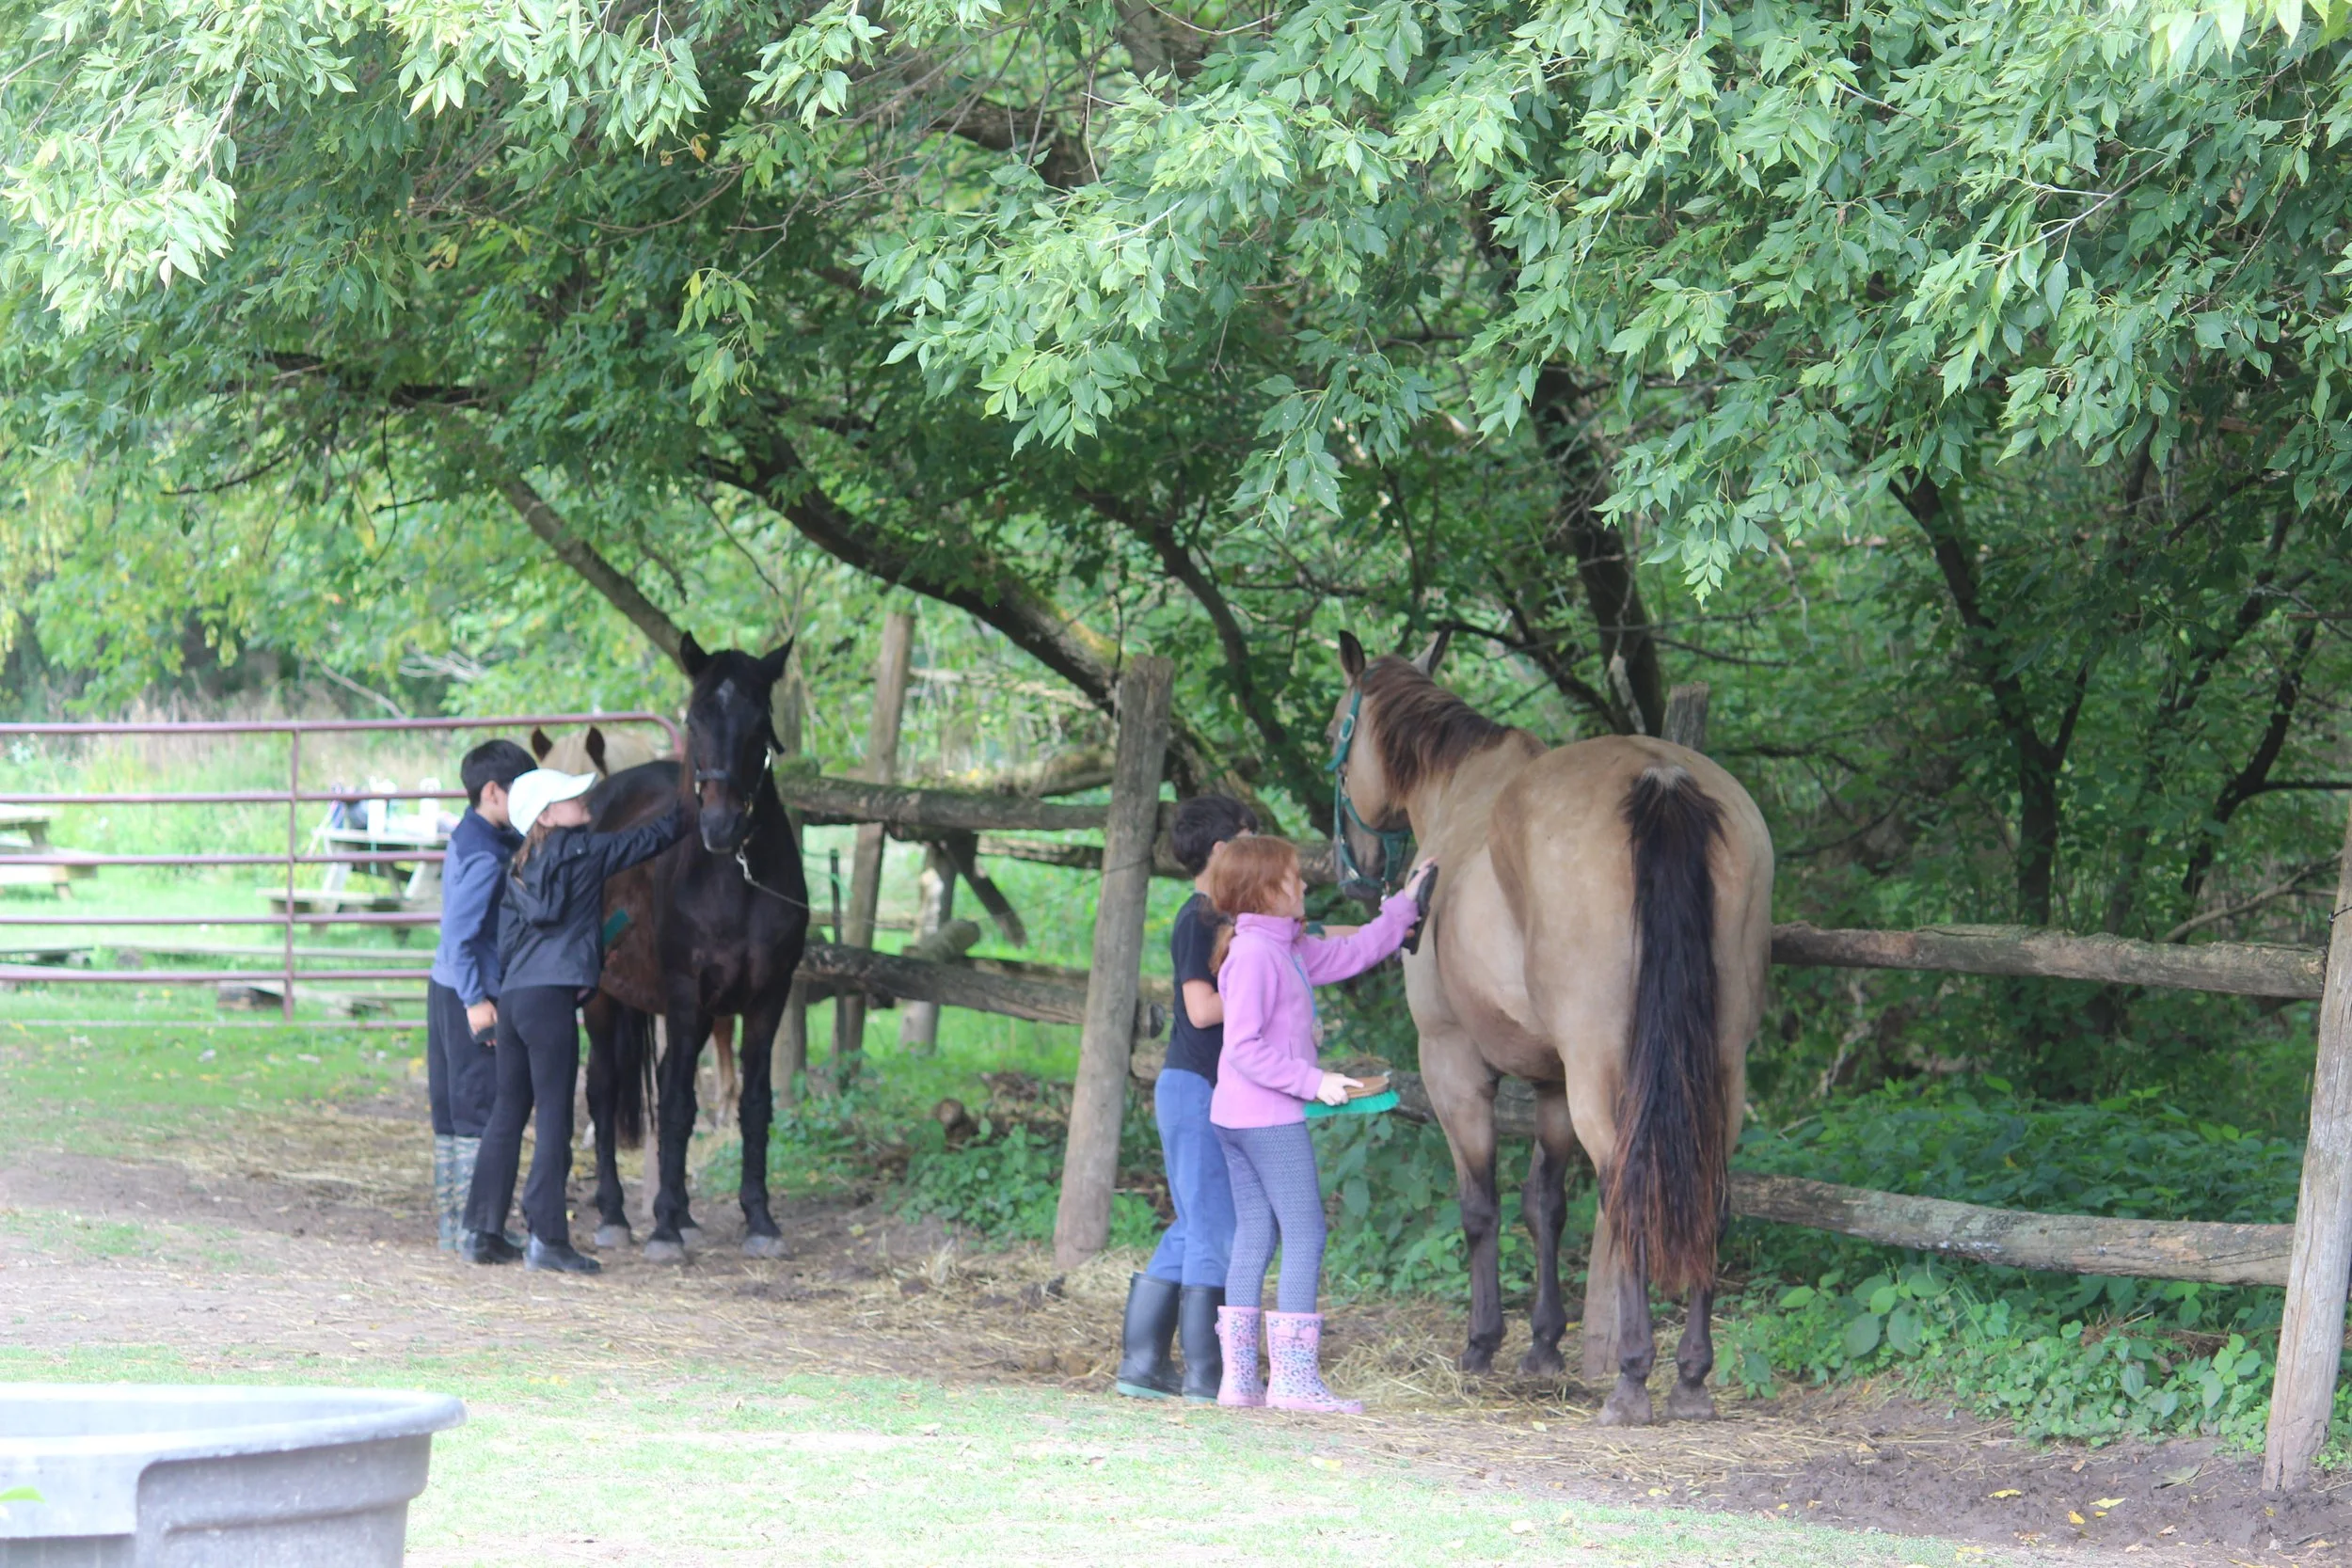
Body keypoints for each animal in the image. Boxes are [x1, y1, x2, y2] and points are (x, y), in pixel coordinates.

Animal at [581, 635, 812, 1263]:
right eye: (693, 718)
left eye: (760, 722)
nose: (721, 826)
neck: (733, 879)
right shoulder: (686, 997)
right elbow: (679, 1106)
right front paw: (661, 1229)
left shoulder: (767, 998)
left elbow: (753, 1105)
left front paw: (760, 1220)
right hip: (602, 1000)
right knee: (604, 1091)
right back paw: (615, 1215)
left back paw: (683, 1214)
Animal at [1328, 631, 1773, 1425]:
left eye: (1334, 742)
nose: (1352, 870)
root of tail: (1662, 779)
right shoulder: (1550, 1083)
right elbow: (1547, 1206)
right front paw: (1543, 1343)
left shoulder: (1452, 1064)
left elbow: (1481, 1205)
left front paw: (1482, 1343)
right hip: (1718, 1064)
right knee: (1707, 1195)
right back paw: (1691, 1377)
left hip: (1602, 1071)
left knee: (1628, 1186)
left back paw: (1633, 1377)